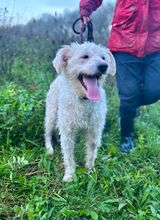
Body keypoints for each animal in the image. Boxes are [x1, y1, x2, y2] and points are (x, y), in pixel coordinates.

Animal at [44, 42, 115, 181]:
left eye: (103, 58)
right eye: (85, 56)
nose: (104, 66)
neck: (84, 100)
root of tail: (59, 77)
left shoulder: (94, 131)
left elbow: (91, 153)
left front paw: (90, 170)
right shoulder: (68, 132)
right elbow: (69, 157)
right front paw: (69, 175)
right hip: (51, 114)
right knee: (48, 133)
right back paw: (49, 148)